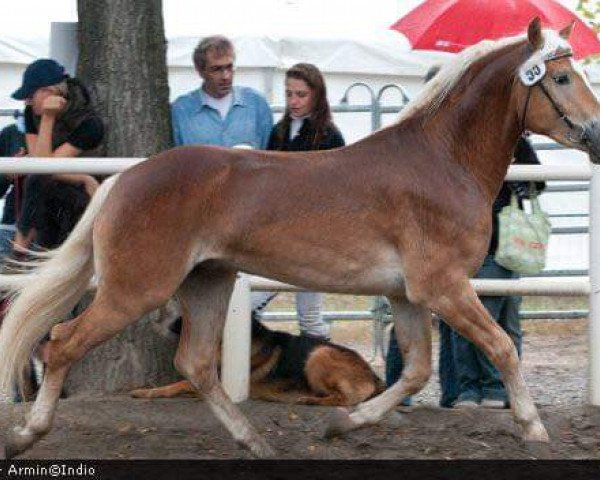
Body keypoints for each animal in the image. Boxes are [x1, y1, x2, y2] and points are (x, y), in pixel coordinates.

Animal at [131, 318, 384, 404]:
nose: (167, 325)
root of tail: (374, 376)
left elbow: (179, 384)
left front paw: (145, 392)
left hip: (318, 354)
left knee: (344, 401)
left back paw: (309, 400)